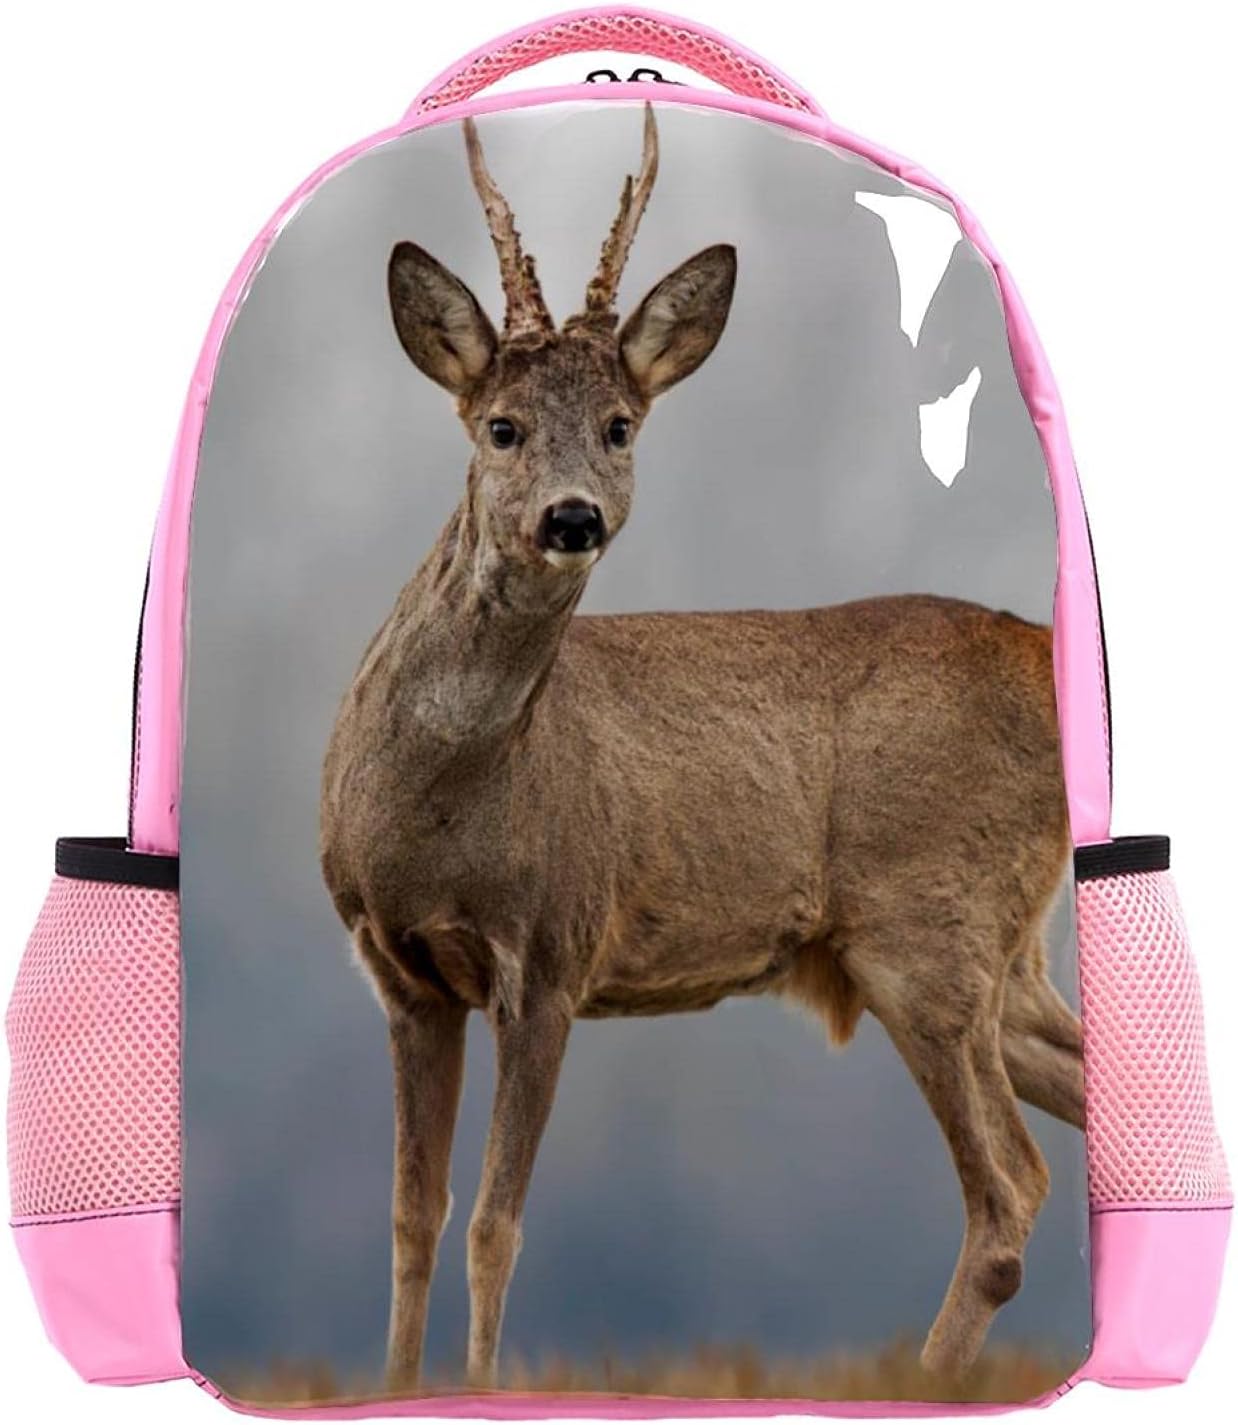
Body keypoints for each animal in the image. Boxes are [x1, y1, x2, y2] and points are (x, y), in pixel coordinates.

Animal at [319, 104, 1086, 1395]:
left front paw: (477, 1393)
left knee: (1008, 1194)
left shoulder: (553, 951)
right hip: (1002, 956)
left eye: (619, 426)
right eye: (501, 427)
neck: (436, 812)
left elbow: (494, 1222)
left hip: (926, 925)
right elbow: (410, 1219)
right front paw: (393, 1391)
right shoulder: (402, 972)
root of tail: (1046, 664)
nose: (570, 517)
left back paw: (925, 1380)